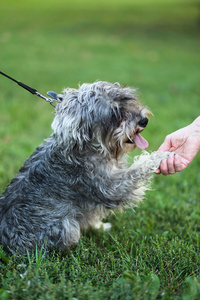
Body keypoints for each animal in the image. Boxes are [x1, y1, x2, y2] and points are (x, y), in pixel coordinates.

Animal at [0, 81, 169, 254]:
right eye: (114, 113)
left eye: (127, 101)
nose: (143, 121)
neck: (91, 147)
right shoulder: (110, 187)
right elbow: (136, 171)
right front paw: (159, 156)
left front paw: (99, 227)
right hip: (65, 227)